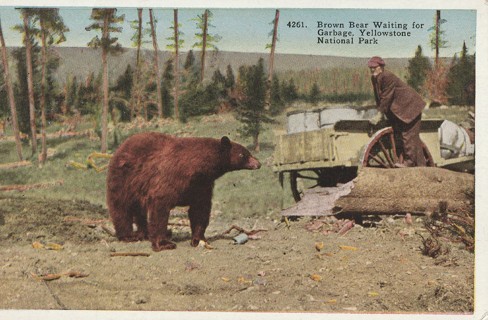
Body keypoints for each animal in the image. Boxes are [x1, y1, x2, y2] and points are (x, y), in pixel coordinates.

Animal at [105, 131, 262, 251]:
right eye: (244, 154)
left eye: (248, 152)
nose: (258, 163)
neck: (199, 168)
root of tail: (121, 147)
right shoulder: (171, 176)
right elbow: (160, 205)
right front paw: (163, 244)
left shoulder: (202, 185)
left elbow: (200, 209)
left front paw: (197, 239)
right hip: (123, 178)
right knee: (121, 207)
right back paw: (128, 235)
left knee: (139, 210)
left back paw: (144, 232)